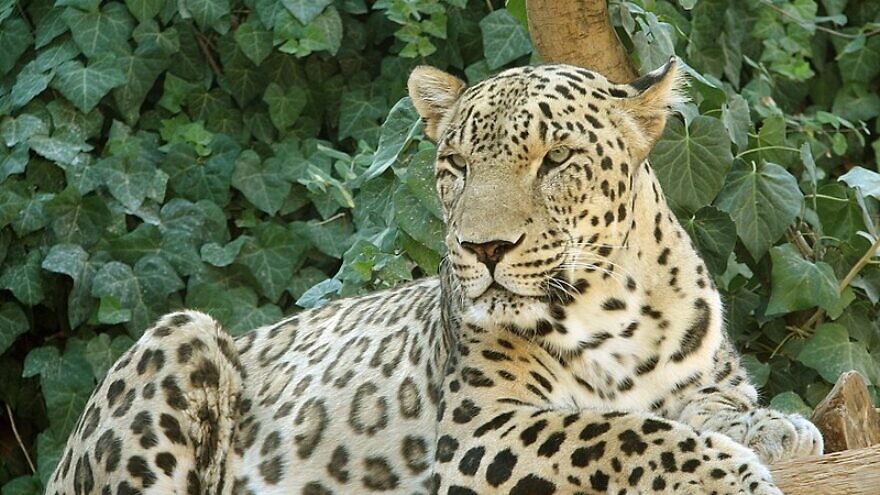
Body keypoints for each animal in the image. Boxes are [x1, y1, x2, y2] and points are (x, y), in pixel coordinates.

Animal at [44, 59, 820, 495]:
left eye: (556, 159)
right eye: (456, 166)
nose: (485, 248)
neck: (616, 307)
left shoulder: (701, 383)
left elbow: (711, 408)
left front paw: (780, 430)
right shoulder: (483, 429)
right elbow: (622, 432)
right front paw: (735, 475)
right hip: (180, 333)